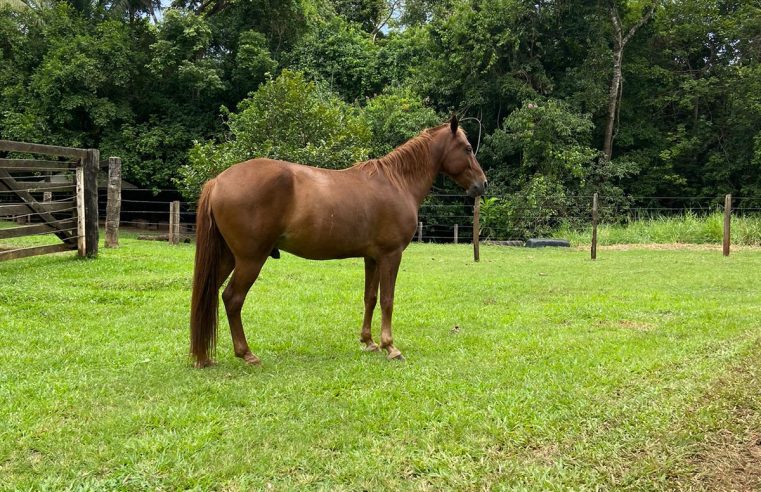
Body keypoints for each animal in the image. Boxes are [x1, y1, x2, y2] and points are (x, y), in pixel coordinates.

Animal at [190, 115, 486, 368]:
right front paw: (391, 347)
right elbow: (387, 299)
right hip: (250, 259)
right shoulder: (391, 255)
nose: (482, 184)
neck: (396, 182)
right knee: (232, 299)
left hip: (227, 258)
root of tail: (218, 181)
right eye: (468, 148)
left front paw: (369, 342)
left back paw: (203, 357)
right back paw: (247, 354)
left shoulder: (372, 257)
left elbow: (370, 297)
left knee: (210, 295)